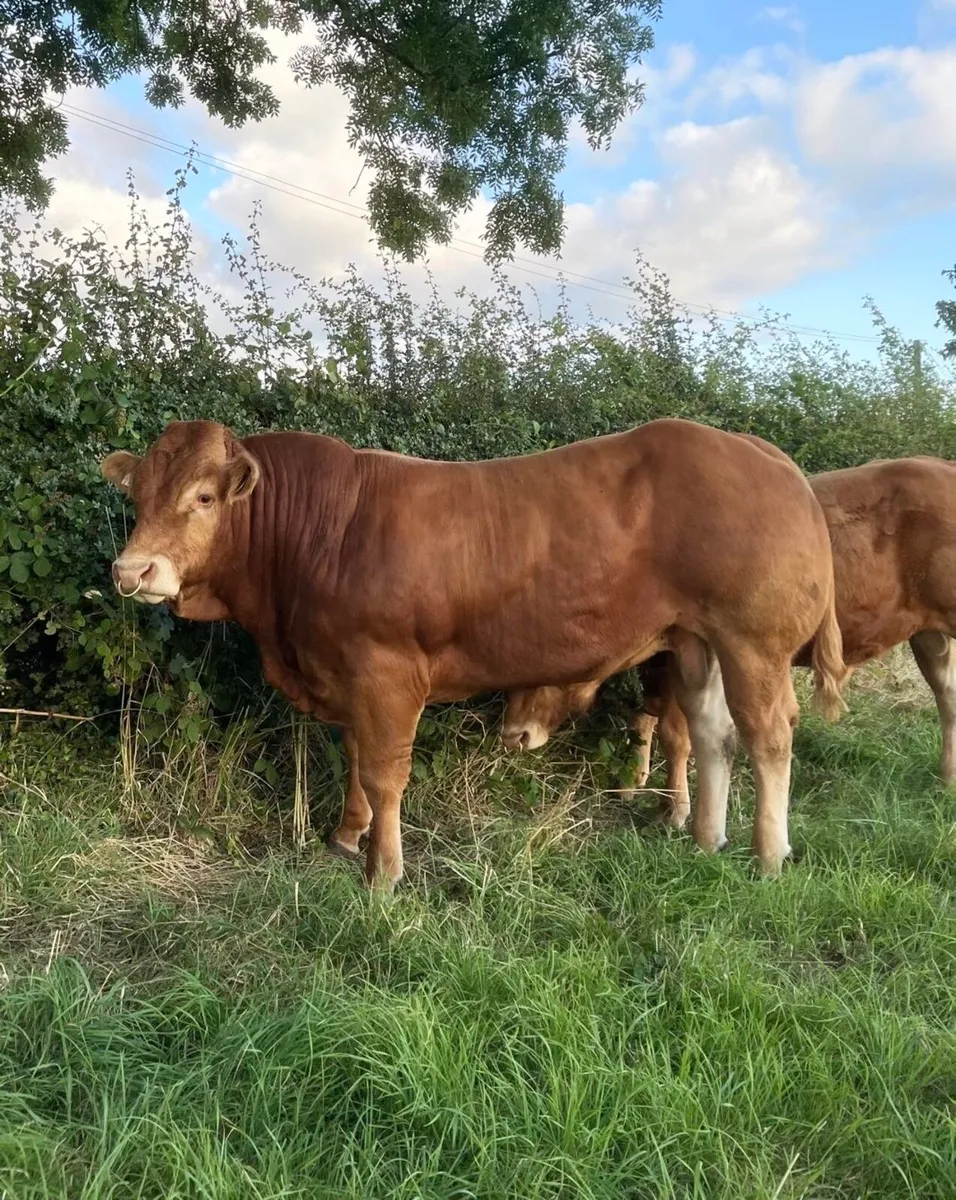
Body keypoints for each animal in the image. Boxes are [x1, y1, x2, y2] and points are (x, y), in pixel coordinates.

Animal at [101, 417, 845, 890]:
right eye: (137, 496)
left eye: (203, 497)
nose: (131, 570)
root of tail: (755, 448)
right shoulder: (349, 676)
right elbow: (356, 758)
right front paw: (347, 835)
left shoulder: (387, 671)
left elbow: (385, 772)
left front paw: (382, 873)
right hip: (697, 641)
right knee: (713, 733)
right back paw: (705, 839)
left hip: (754, 641)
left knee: (769, 737)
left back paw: (767, 856)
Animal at [502, 455, 956, 828]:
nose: (513, 734)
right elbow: (644, 718)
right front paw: (635, 784)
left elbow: (674, 733)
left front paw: (674, 810)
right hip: (929, 634)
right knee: (948, 696)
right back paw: (947, 778)